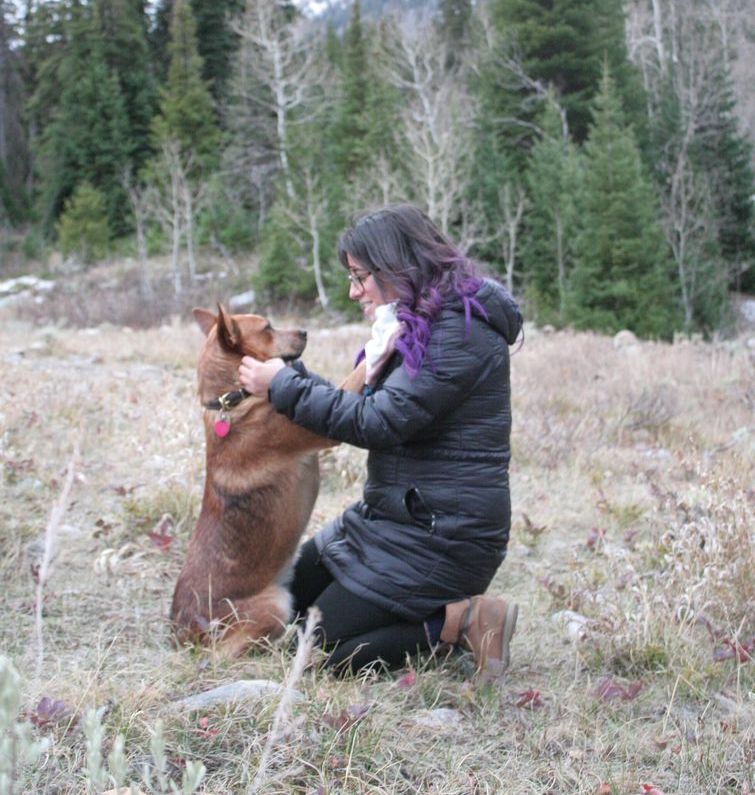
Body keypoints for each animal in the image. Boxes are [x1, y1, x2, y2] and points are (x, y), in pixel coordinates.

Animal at [170, 304, 364, 660]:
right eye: (268, 327)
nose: (305, 331)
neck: (231, 399)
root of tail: (183, 633)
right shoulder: (329, 421)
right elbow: (361, 371)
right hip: (275, 605)